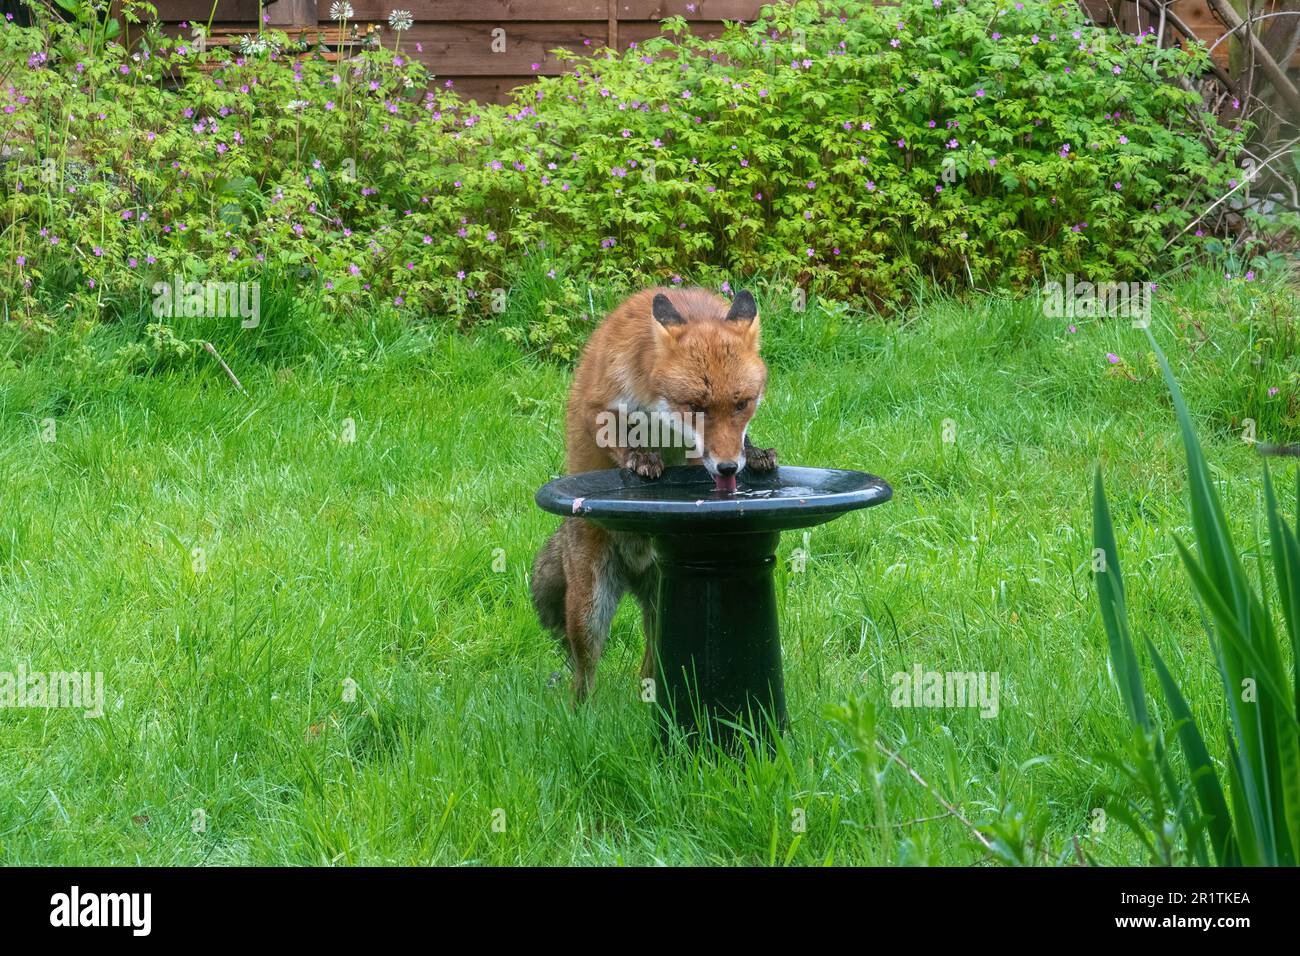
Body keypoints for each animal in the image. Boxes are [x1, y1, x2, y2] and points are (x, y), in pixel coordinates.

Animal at [530, 286, 778, 700]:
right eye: (696, 407)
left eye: (742, 404)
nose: (728, 469)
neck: (660, 417)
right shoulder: (597, 404)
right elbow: (617, 436)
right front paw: (641, 460)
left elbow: (733, 446)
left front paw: (755, 454)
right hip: (589, 609)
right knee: (584, 676)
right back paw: (583, 713)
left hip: (664, 605)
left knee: (649, 667)